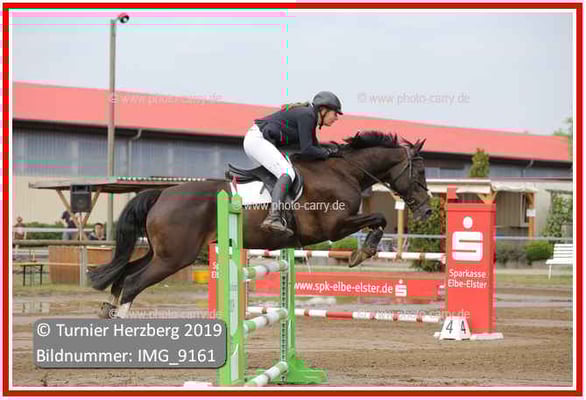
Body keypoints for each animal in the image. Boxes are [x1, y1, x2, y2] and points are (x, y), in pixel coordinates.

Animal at [88, 131, 432, 318]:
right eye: (419, 172)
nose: (428, 210)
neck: (344, 171)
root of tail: (162, 193)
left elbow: (378, 221)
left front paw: (364, 252)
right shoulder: (334, 227)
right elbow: (379, 219)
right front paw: (363, 253)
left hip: (162, 252)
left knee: (124, 275)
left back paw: (108, 310)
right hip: (175, 257)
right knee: (133, 283)